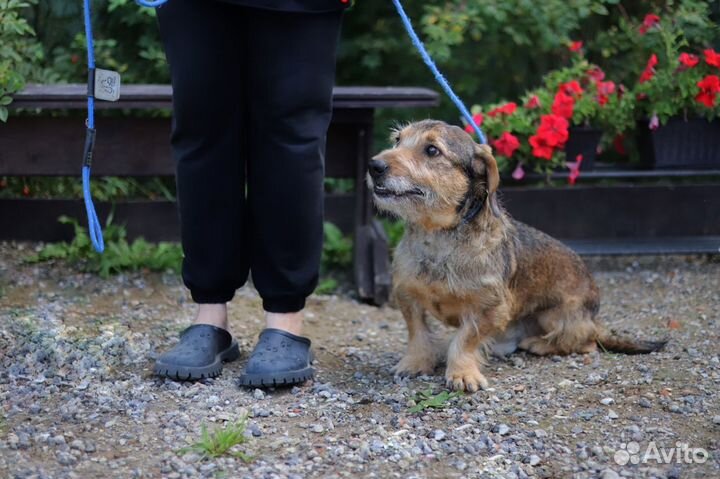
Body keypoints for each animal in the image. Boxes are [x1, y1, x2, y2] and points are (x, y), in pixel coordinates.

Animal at [368, 120, 668, 394]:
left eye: (432, 150)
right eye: (397, 140)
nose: (374, 166)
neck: (439, 239)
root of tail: (594, 321)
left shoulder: (491, 309)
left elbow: (464, 339)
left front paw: (462, 372)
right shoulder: (407, 297)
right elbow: (417, 333)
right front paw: (416, 362)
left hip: (556, 317)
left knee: (585, 343)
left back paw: (539, 343)